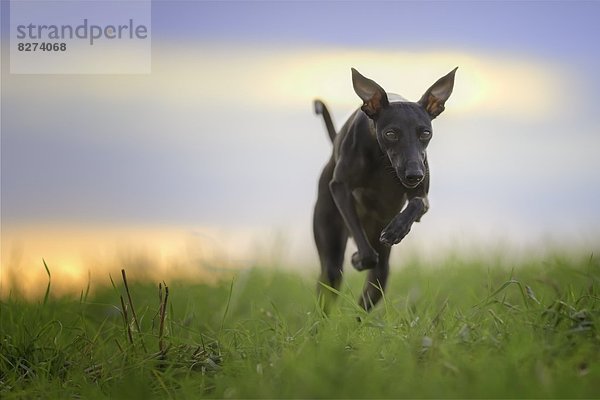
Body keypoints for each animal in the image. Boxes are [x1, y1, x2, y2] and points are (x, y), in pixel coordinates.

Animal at [312, 65, 458, 310]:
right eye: (391, 133)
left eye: (425, 133)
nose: (414, 175)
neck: (382, 160)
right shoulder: (340, 187)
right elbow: (367, 254)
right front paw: (358, 259)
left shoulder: (422, 195)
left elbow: (417, 203)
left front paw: (397, 229)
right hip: (330, 246)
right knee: (333, 277)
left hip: (381, 274)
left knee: (371, 289)